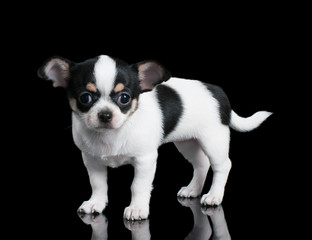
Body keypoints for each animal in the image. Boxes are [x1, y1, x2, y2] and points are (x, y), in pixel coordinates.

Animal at [37, 55, 272, 220]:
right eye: (85, 98)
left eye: (124, 98)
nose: (105, 114)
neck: (113, 135)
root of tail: (217, 92)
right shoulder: (92, 160)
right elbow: (98, 184)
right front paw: (96, 203)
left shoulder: (145, 160)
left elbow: (138, 186)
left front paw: (137, 209)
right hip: (187, 142)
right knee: (201, 164)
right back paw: (193, 190)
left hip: (213, 140)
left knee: (222, 165)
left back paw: (214, 195)